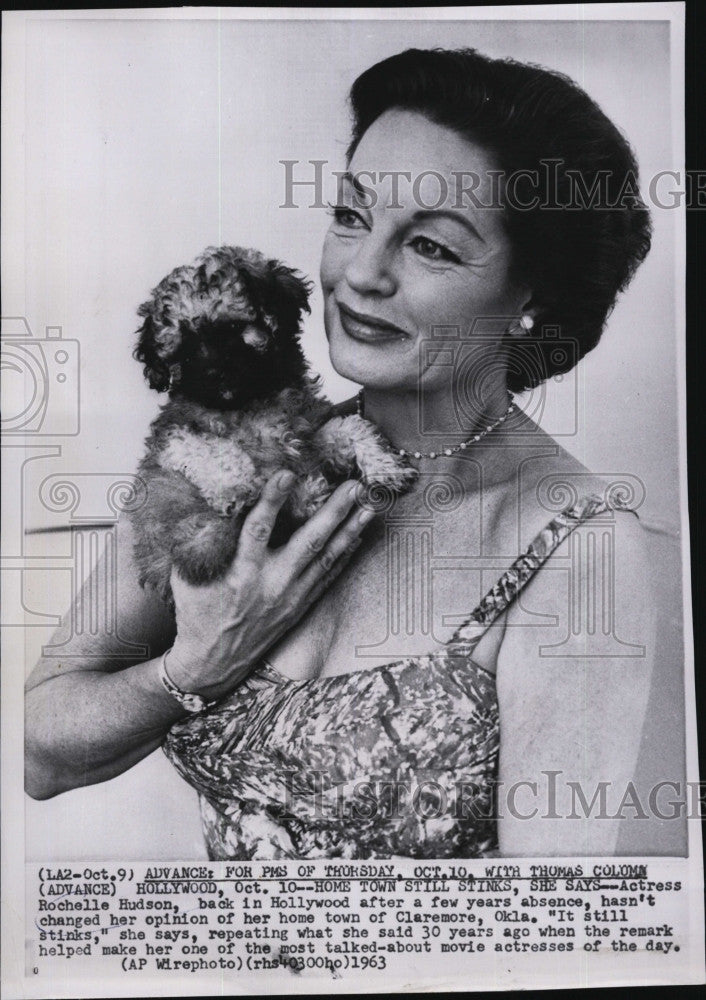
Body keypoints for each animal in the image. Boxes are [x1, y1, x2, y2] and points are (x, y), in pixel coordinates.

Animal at [129, 246, 416, 604]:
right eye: (185, 350)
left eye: (233, 327)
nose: (213, 374)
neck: (249, 399)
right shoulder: (172, 434)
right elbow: (206, 445)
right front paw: (236, 487)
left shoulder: (305, 434)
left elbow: (349, 427)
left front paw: (384, 465)